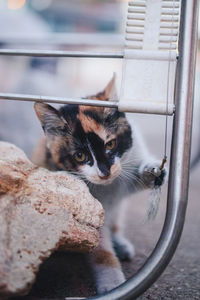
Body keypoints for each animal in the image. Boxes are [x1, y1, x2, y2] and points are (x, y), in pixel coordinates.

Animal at [33, 76, 166, 294]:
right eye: (80, 155)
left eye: (110, 144)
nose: (105, 173)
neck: (107, 187)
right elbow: (99, 247)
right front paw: (113, 283)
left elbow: (133, 180)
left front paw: (151, 170)